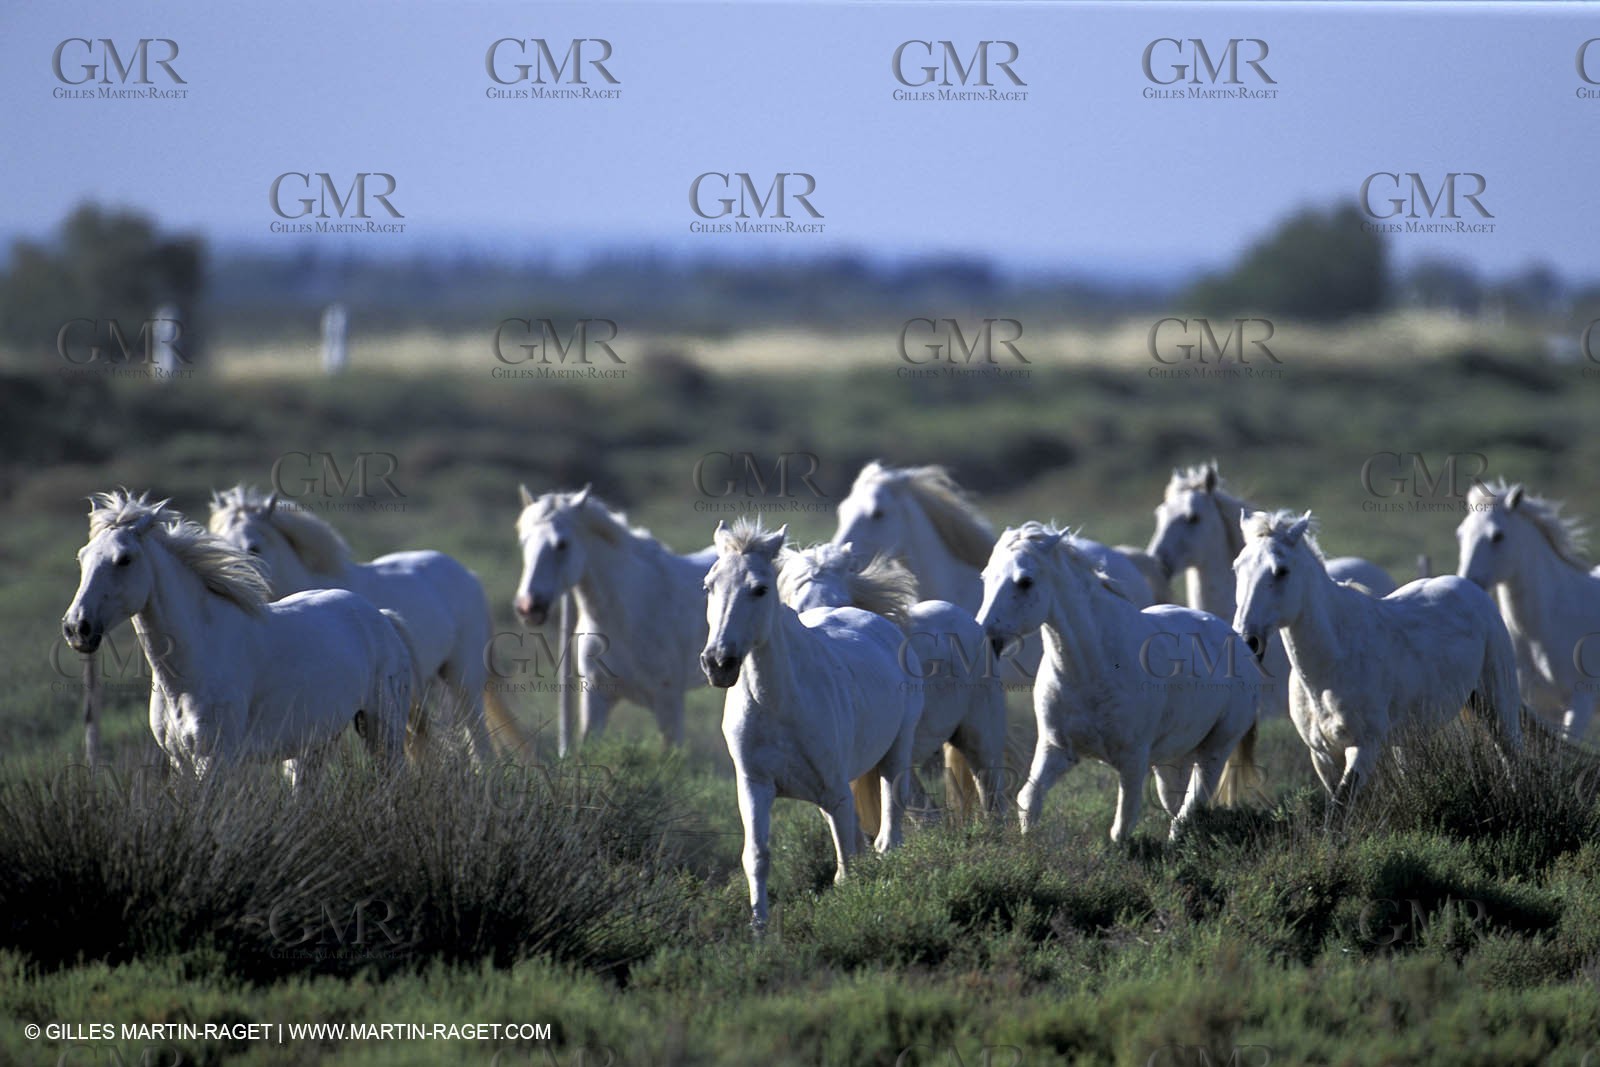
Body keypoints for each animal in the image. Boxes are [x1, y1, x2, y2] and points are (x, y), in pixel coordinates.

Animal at [63, 491, 414, 786]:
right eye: (82, 556)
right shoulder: (180, 762)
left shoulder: (213, 760)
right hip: (315, 744)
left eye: (124, 558)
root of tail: (382, 617)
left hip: (384, 729)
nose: (77, 628)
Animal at [702, 520, 921, 932]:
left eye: (759, 588)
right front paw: (759, 929)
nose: (719, 663)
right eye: (709, 585)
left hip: (896, 755)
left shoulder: (835, 791)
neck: (778, 706)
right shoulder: (754, 786)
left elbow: (846, 865)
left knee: (888, 835)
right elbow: (756, 856)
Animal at [977, 522, 1260, 841]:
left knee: (1190, 809)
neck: (1091, 670)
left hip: (1215, 750)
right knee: (1177, 805)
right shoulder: (1056, 748)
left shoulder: (1133, 760)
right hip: (1172, 760)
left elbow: (1122, 825)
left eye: (1025, 581)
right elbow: (1029, 798)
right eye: (986, 576)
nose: (986, 637)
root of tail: (1238, 641)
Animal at [1234, 509, 1522, 817]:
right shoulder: (1322, 754)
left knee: (1512, 756)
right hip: (1409, 735)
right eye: (1237, 567)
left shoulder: (1363, 747)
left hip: (1498, 706)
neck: (1332, 663)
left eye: (1281, 570)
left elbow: (1341, 805)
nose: (1248, 640)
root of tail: (1472, 590)